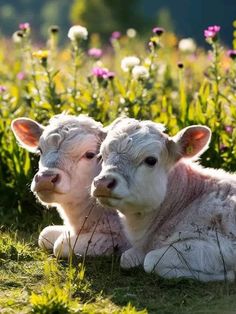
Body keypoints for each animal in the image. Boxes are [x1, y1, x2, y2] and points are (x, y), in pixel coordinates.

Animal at [91, 118, 236, 282]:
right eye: (102, 155)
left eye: (151, 160)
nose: (102, 183)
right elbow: (126, 258)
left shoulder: (222, 247)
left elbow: (151, 261)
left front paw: (227, 275)